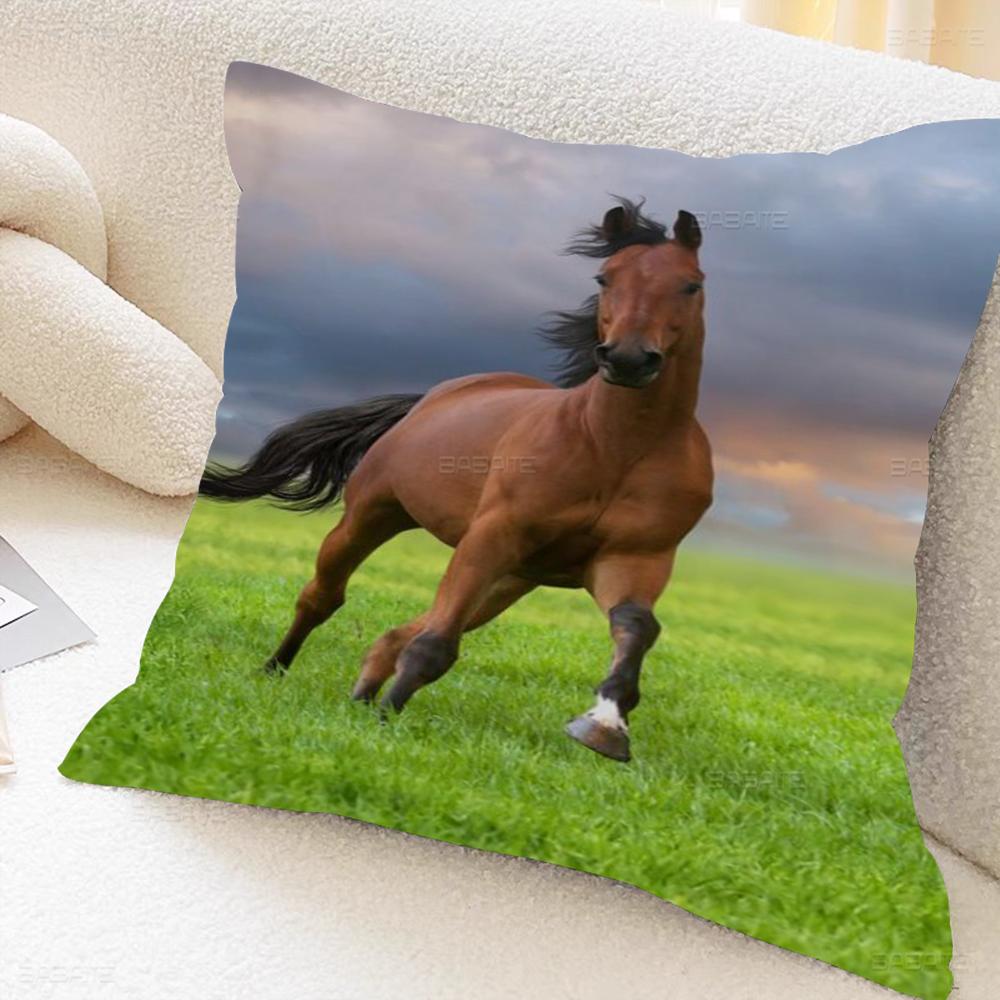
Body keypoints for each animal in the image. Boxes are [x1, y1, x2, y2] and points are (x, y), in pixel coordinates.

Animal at [200, 198, 713, 762]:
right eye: (605, 278)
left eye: (690, 284)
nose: (628, 358)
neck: (614, 448)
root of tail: (430, 398)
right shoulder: (491, 535)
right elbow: (434, 645)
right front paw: (385, 722)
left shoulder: (632, 561)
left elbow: (636, 625)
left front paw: (605, 724)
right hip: (374, 517)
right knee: (324, 597)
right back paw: (276, 670)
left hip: (514, 578)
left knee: (398, 631)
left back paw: (361, 694)